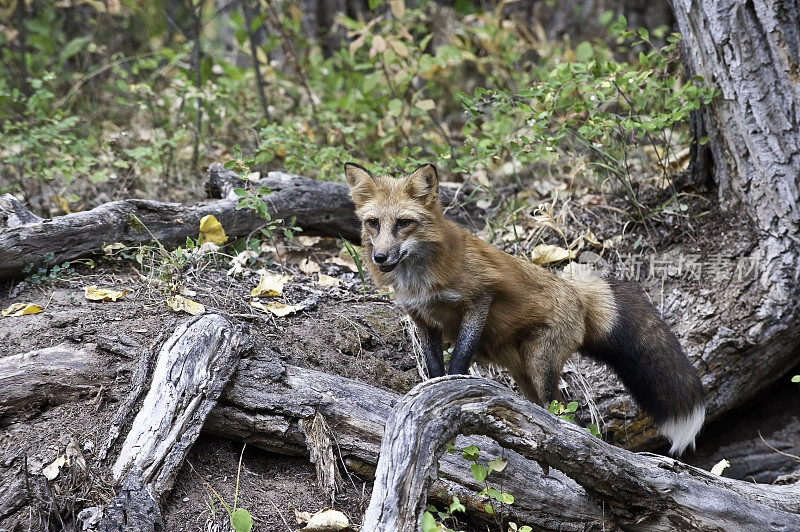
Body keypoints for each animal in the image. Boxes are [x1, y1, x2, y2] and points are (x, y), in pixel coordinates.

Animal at [344, 161, 708, 454]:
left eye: (403, 223)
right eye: (374, 223)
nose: (380, 257)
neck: (420, 280)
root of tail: (575, 289)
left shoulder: (480, 297)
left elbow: (460, 357)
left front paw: (455, 390)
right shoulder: (423, 319)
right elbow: (434, 367)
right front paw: (434, 394)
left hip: (540, 366)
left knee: (570, 418)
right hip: (525, 378)